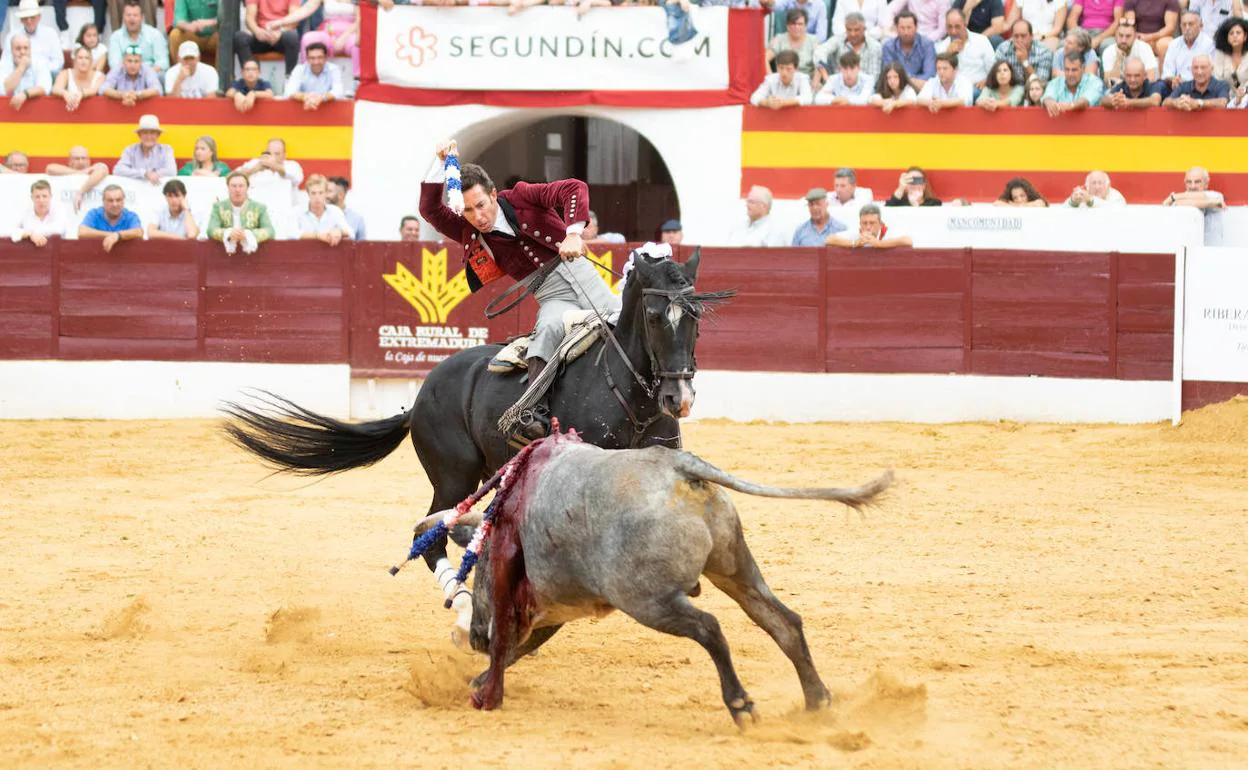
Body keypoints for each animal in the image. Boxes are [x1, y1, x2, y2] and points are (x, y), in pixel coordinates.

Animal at [224, 249, 728, 566]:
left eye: (697, 319)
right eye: (654, 317)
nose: (678, 398)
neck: (627, 391)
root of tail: (421, 395)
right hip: (453, 475)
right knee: (430, 535)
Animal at [414, 429, 893, 723]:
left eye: (476, 571)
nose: (476, 637)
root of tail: (677, 466)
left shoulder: (538, 600)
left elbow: (512, 641)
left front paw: (481, 685)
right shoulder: (557, 605)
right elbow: (522, 643)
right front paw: (480, 680)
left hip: (647, 599)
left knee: (709, 628)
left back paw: (741, 704)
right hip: (734, 567)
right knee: (783, 621)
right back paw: (817, 701)